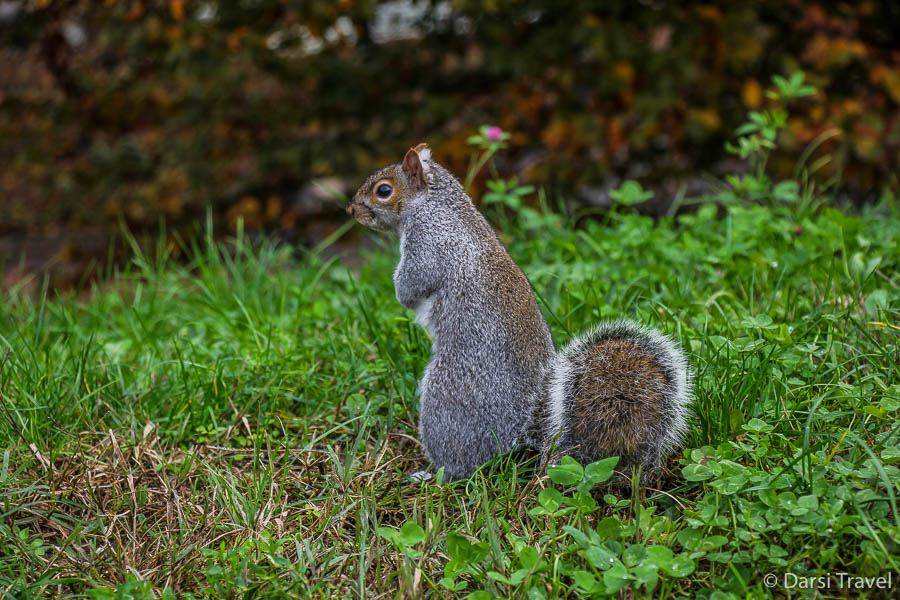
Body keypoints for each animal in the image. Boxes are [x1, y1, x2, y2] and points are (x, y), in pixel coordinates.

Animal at [347, 143, 692, 482]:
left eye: (383, 190)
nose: (351, 210)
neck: (437, 205)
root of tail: (523, 434)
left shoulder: (429, 245)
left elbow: (411, 284)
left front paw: (398, 290)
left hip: (443, 402)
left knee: (461, 467)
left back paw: (432, 475)